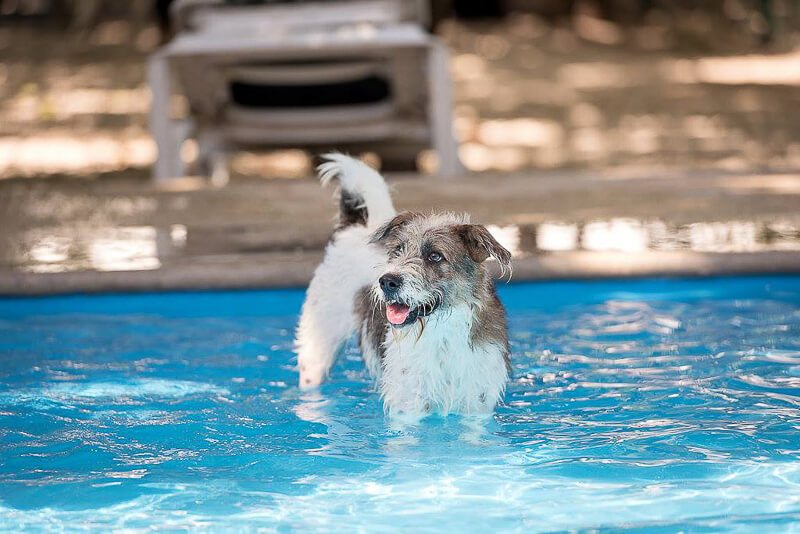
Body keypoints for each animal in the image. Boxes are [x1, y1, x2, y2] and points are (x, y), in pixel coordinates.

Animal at [296, 155, 512, 422]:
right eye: (398, 250)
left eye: (434, 256)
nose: (387, 281)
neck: (441, 332)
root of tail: (354, 229)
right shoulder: (407, 406)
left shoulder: (476, 406)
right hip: (317, 351)